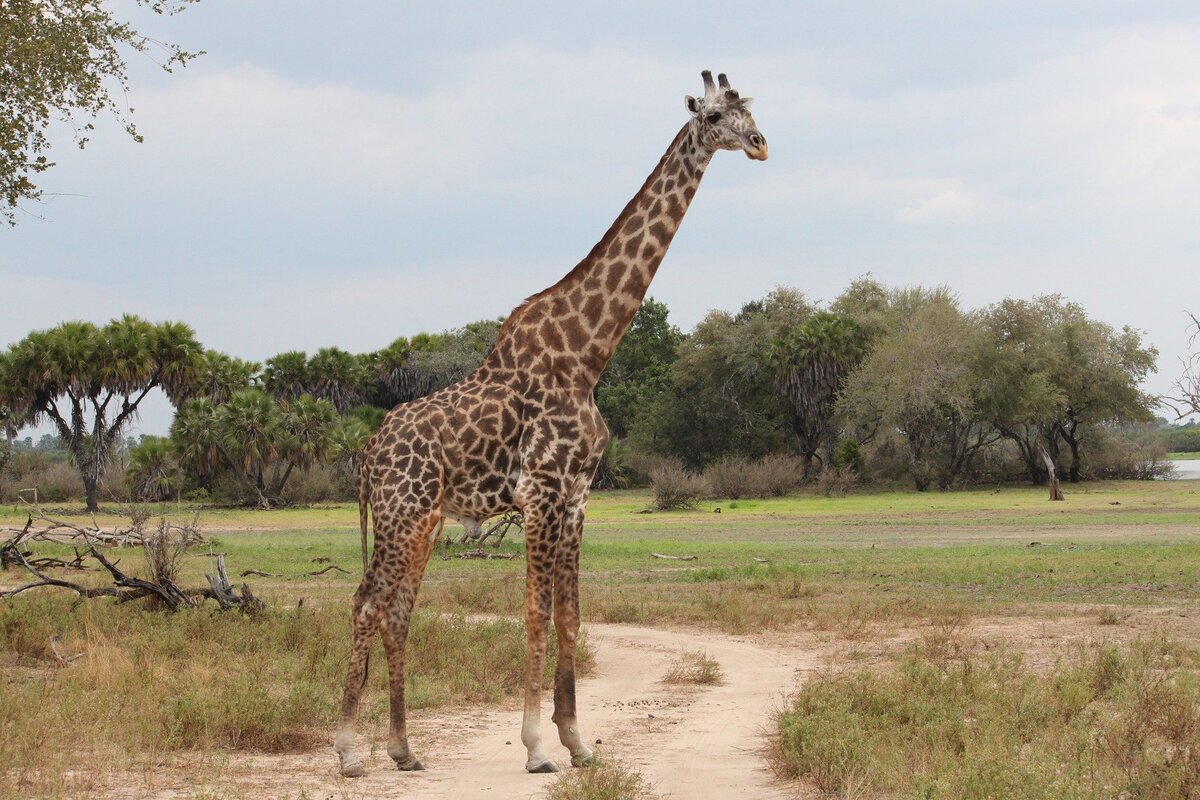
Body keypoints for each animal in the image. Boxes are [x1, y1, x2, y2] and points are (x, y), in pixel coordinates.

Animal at [338, 71, 768, 777]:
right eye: (712, 115)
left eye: (749, 108)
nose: (759, 143)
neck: (588, 355)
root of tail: (369, 454)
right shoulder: (539, 492)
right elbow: (536, 614)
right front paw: (537, 746)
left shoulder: (576, 496)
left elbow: (570, 615)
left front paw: (578, 741)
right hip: (402, 514)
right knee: (368, 602)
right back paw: (349, 751)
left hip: (423, 521)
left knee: (396, 610)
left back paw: (403, 749)